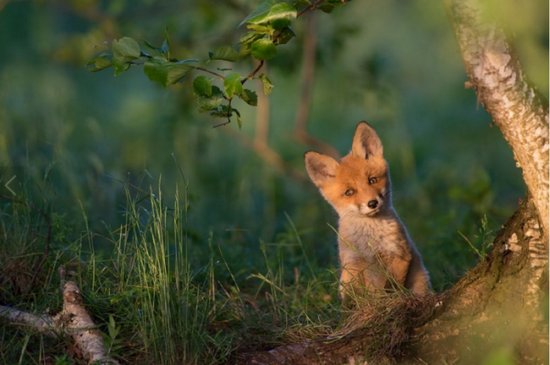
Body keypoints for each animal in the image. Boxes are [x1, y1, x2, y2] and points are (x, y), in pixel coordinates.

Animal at [306, 121, 432, 300]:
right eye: (349, 192)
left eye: (372, 180)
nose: (372, 203)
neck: (369, 242)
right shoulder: (353, 263)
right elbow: (359, 296)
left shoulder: (400, 255)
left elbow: (391, 287)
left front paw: (390, 302)